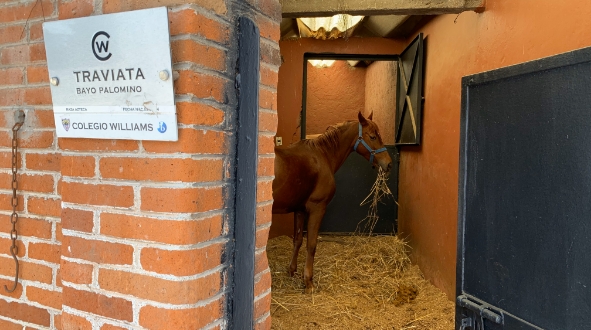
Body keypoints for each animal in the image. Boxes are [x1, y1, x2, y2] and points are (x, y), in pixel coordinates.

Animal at [272, 112, 394, 292]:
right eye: (372, 136)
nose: (389, 163)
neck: (322, 156)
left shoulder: (299, 210)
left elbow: (298, 240)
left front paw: (292, 271)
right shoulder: (317, 209)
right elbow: (312, 244)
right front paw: (309, 282)